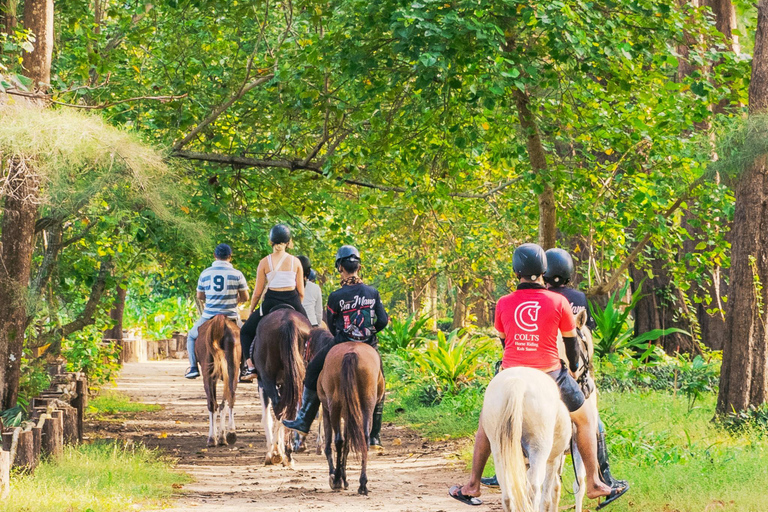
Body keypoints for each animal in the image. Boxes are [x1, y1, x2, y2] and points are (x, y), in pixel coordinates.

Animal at [195, 314, 240, 446]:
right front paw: (222, 437)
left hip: (208, 373)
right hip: (232, 369)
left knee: (213, 403)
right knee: (229, 398)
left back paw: (212, 438)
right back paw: (230, 434)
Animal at [252, 306, 312, 466]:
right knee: (290, 411)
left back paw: (276, 453)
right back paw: (288, 453)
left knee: (278, 408)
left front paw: (272, 452)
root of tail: (288, 322)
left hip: (267, 378)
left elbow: (267, 417)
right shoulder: (285, 384)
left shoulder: (262, 383)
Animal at [316, 342, 384, 494]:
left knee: (338, 440)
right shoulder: (349, 415)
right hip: (367, 404)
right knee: (364, 438)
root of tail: (351, 353)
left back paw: (337, 480)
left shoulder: (326, 409)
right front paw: (344, 478)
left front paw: (337, 477)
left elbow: (330, 444)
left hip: (334, 406)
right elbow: (348, 444)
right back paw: (362, 484)